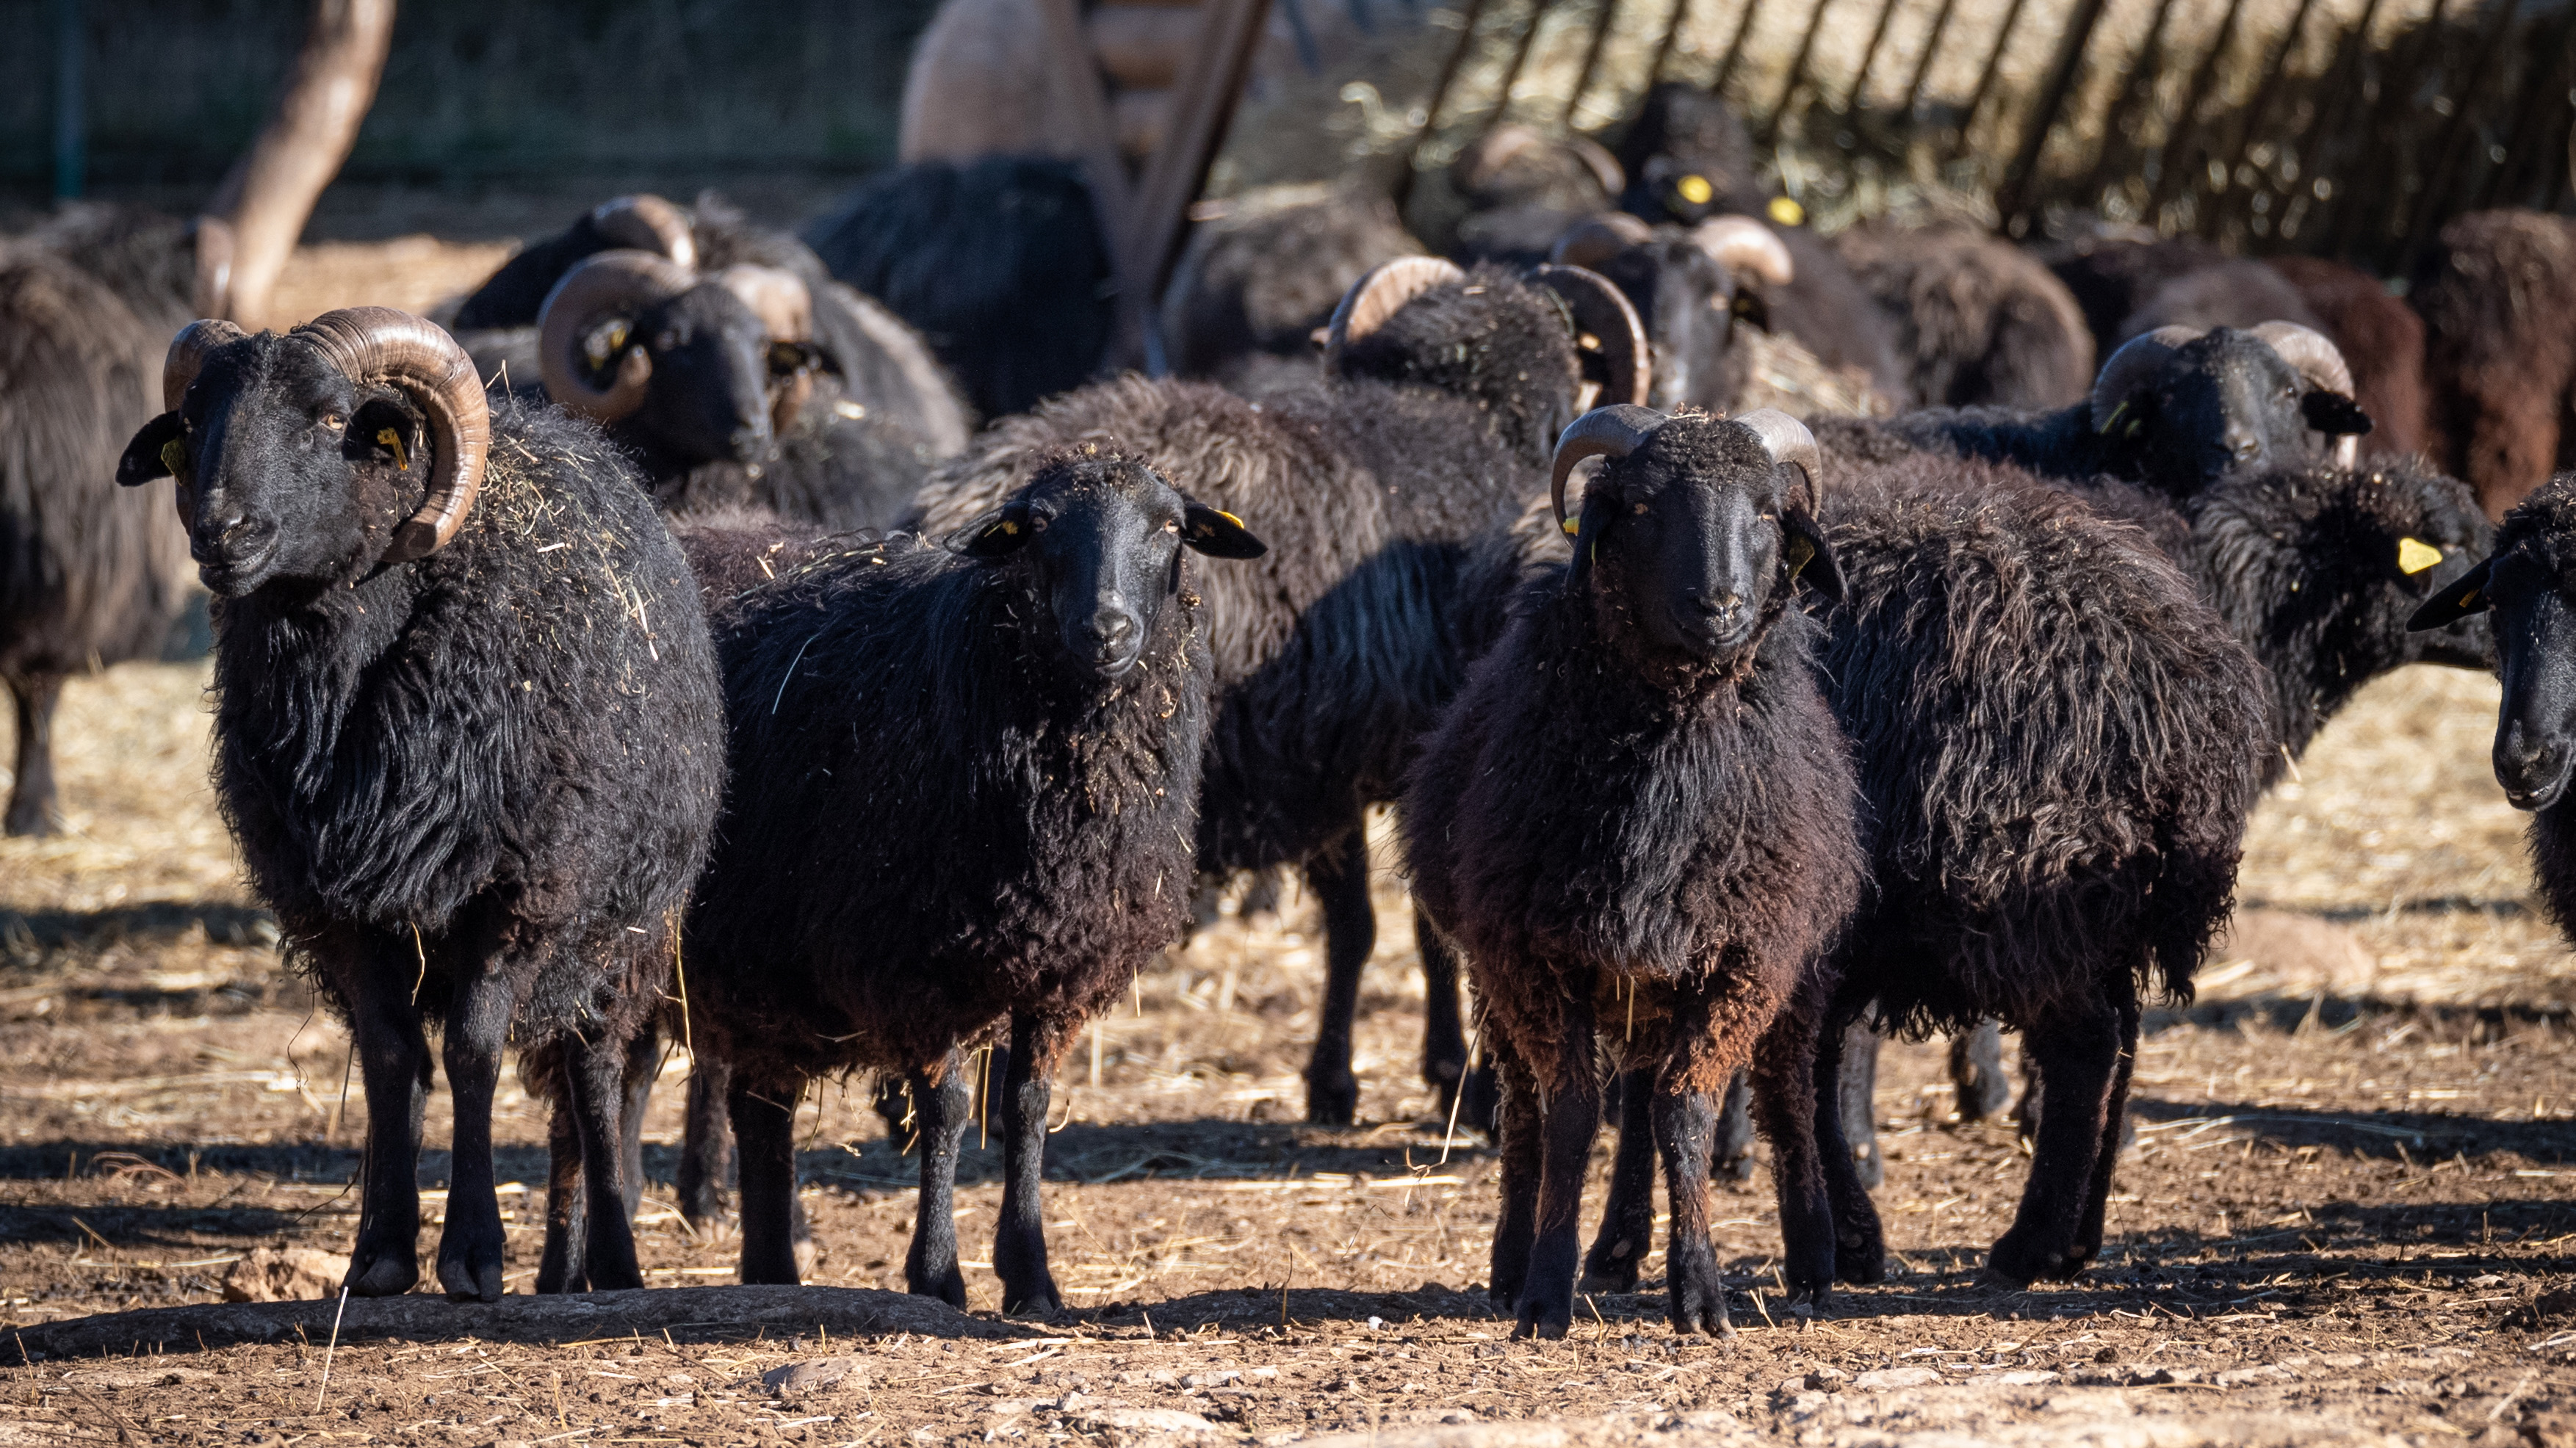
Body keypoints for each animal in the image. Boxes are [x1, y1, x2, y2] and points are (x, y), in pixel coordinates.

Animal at [113, 308, 725, 1300]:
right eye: (194, 421)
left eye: (330, 418)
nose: (221, 532)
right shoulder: (336, 906)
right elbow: (393, 1055)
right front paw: (384, 1252)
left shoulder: (518, 894)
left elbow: (474, 1050)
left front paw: (474, 1254)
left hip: (622, 929)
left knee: (595, 1074)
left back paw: (613, 1261)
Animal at [681, 451, 1265, 1304]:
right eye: (1041, 526)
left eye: (1168, 526)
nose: (1107, 629)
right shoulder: (911, 964)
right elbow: (950, 1109)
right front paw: (937, 1275)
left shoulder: (1062, 966)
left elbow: (1026, 1106)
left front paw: (1031, 1275)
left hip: (761, 955)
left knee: (762, 1106)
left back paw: (772, 1273)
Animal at [1400, 406, 1864, 1338]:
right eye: (1644, 510)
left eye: (1767, 512)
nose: (1720, 605)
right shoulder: (1531, 957)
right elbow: (1574, 1116)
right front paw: (1546, 1290)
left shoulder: (1744, 959)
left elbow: (1685, 1112)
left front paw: (1701, 1294)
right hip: (1516, 980)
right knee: (1530, 1114)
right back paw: (1552, 1256)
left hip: (1786, 974)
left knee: (1782, 1095)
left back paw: (1809, 1263)